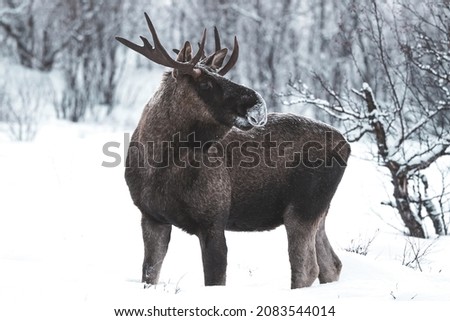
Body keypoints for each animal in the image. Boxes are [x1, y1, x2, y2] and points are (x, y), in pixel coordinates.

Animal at [115, 13, 348, 288]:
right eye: (205, 83)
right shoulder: (152, 217)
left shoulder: (213, 220)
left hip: (302, 208)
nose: (256, 103)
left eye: (223, 77)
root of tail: (345, 145)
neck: (158, 164)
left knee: (307, 268)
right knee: (331, 264)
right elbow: (150, 274)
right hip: (319, 211)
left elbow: (215, 279)